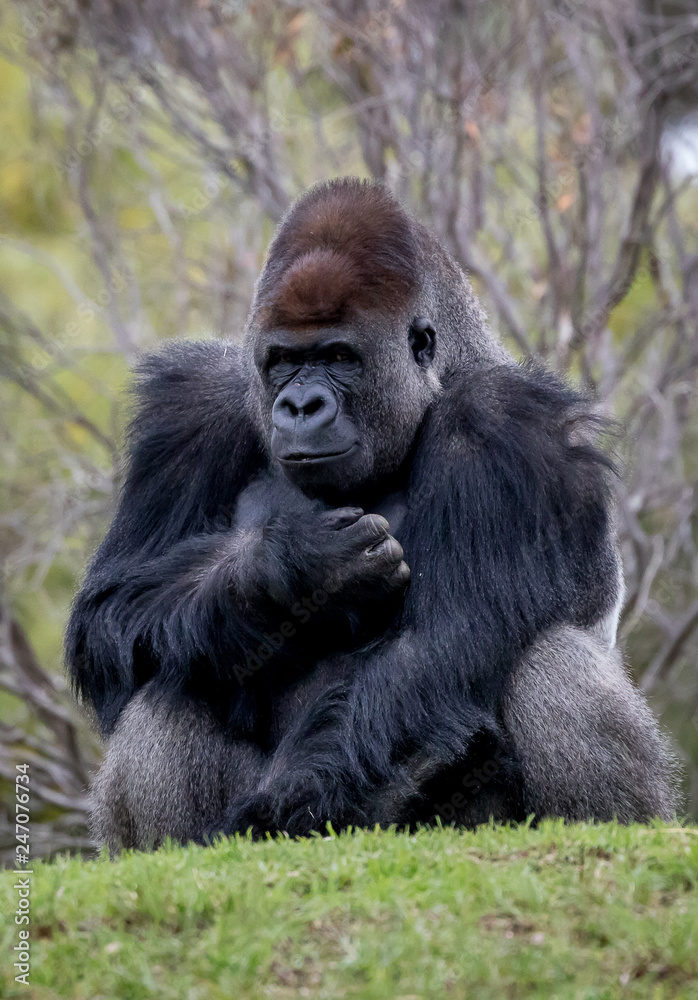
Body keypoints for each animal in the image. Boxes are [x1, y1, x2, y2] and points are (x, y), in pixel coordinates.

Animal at [65, 176, 676, 848]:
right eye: (283, 361)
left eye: (339, 357)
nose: (300, 405)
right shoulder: (191, 406)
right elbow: (109, 612)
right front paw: (293, 572)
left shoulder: (502, 419)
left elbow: (430, 641)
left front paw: (274, 816)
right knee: (174, 674)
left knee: (550, 659)